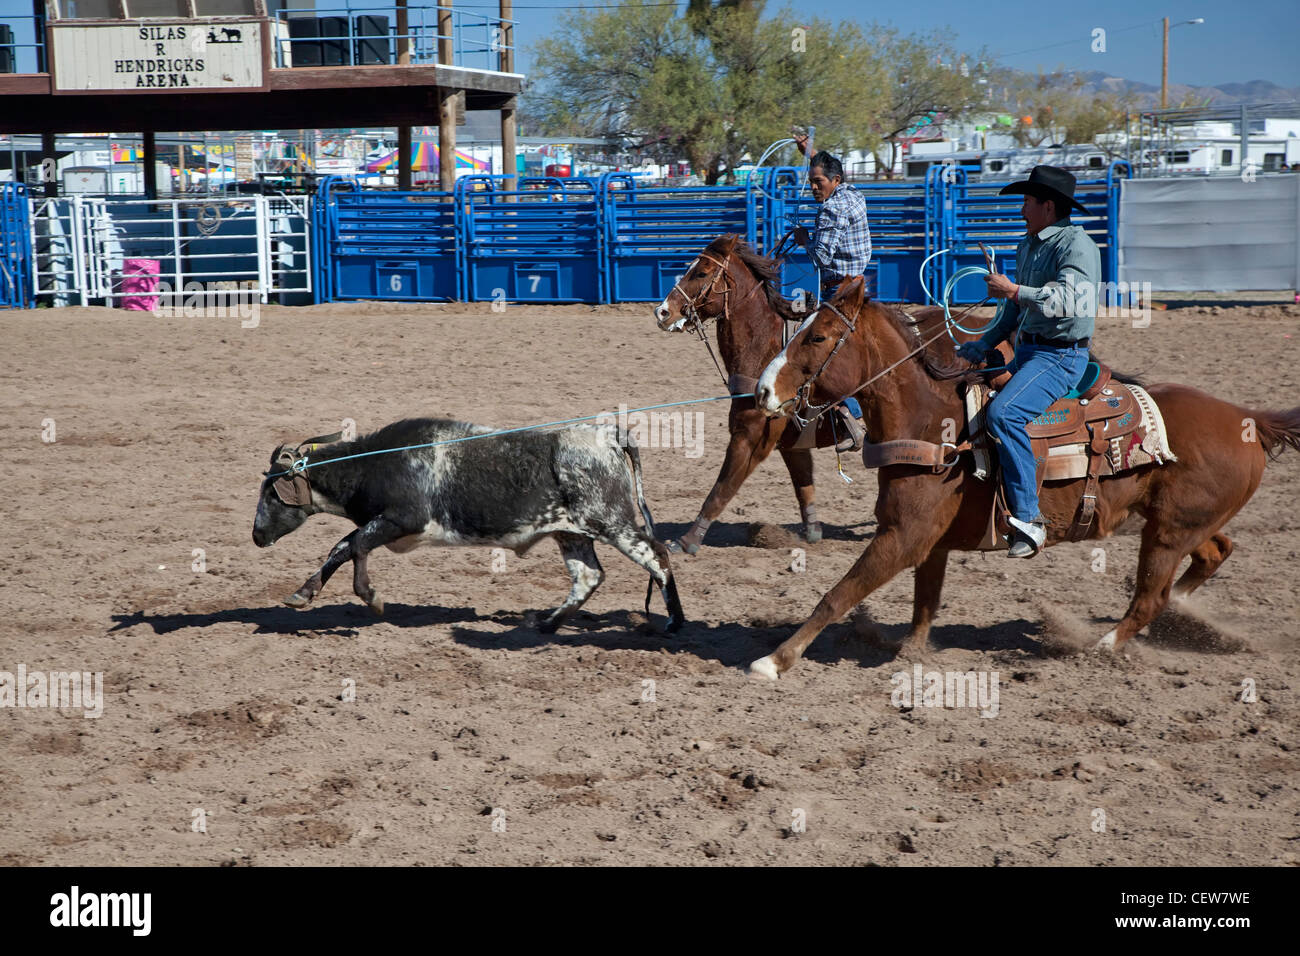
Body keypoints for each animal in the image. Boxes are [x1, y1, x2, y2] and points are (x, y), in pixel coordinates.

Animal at [655, 232, 941, 556]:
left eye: (701, 273)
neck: (763, 348)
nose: (662, 311)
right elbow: (803, 484)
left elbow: (722, 487)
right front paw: (813, 530)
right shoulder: (791, 442)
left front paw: (686, 541)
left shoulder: (751, 437)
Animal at [748, 277, 1300, 681]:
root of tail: (1249, 420)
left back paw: (1100, 646)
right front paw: (911, 652)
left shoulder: (902, 536)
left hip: (1167, 533)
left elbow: (837, 594)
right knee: (1214, 553)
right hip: (1178, 523)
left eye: (817, 337)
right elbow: (925, 604)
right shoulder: (929, 542)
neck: (933, 423)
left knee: (1151, 598)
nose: (762, 392)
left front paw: (774, 660)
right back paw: (1186, 617)